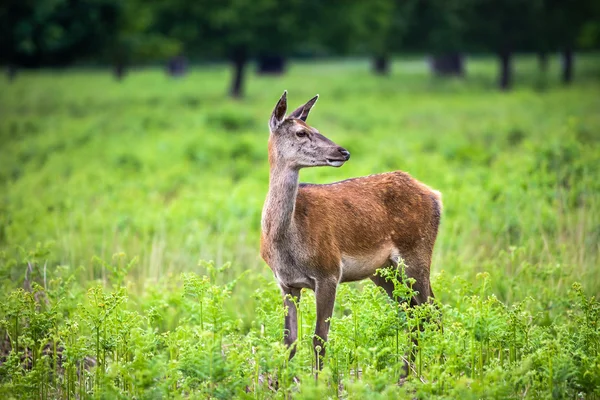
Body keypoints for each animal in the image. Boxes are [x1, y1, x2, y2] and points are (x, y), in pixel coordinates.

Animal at [258, 90, 440, 372]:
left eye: (315, 128)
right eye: (301, 132)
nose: (343, 151)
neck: (286, 243)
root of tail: (434, 195)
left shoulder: (329, 272)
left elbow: (319, 339)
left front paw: (318, 380)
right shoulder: (286, 283)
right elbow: (290, 342)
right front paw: (284, 380)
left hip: (416, 253)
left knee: (432, 311)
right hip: (383, 271)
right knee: (414, 314)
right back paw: (406, 372)